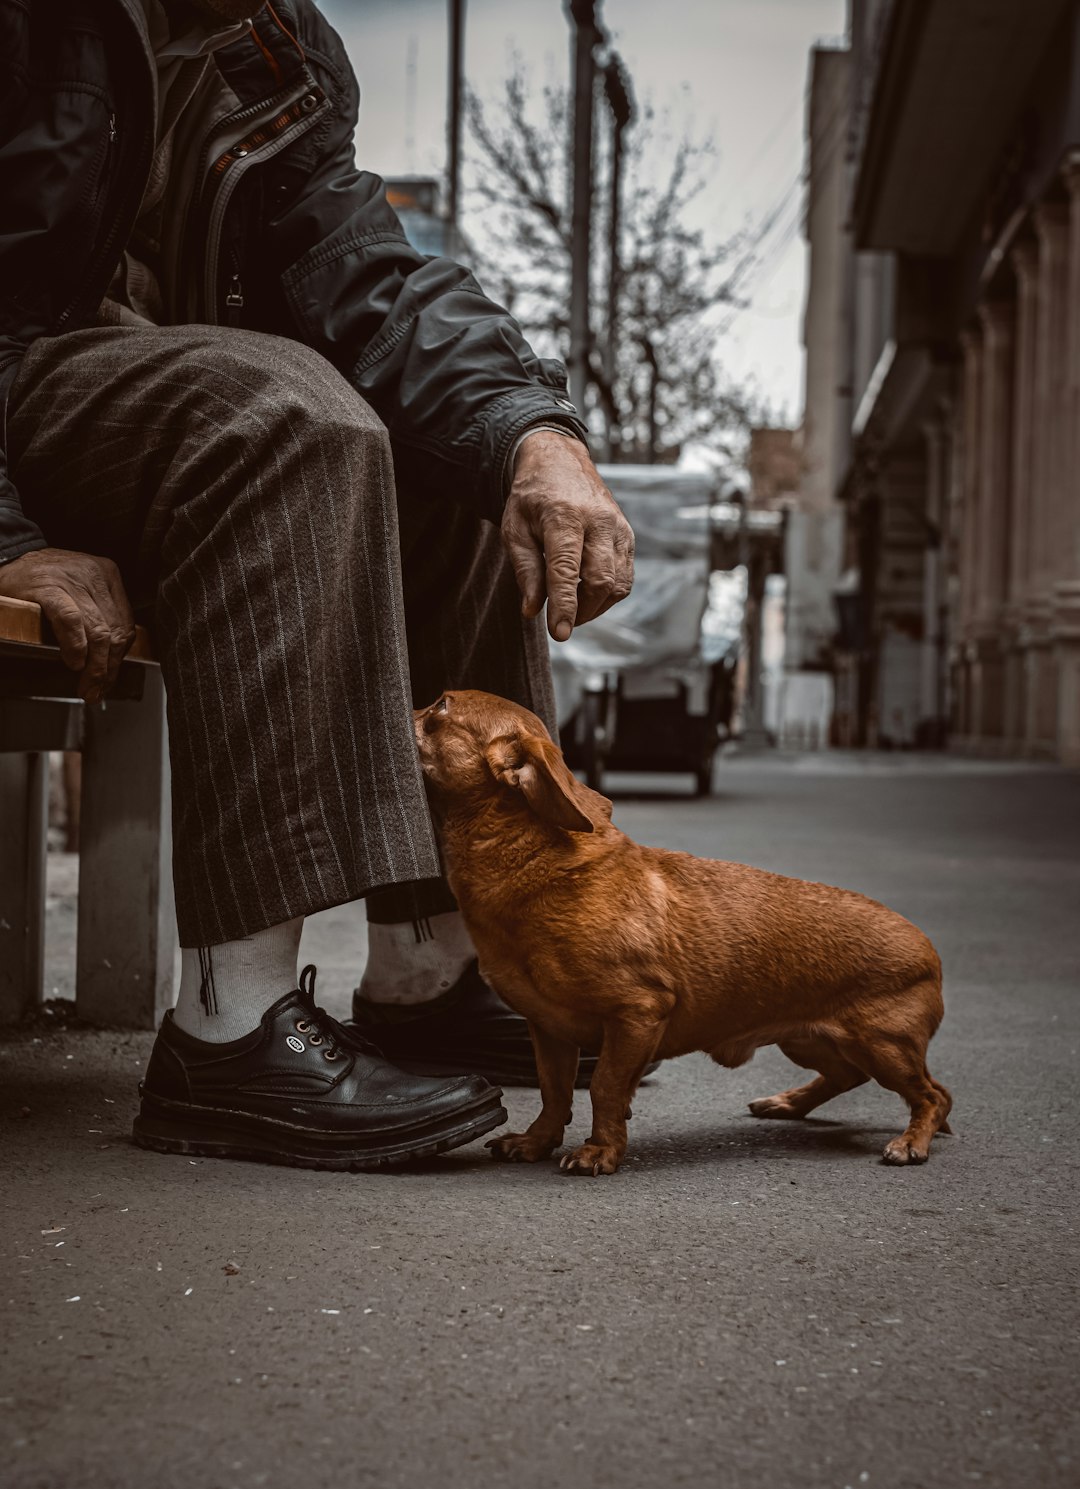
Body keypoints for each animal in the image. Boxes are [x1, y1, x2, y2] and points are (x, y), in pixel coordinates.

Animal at [414, 687, 953, 1173]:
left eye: (440, 706)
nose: (405, 710)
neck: (527, 863)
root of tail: (928, 949)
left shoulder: (638, 1013)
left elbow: (606, 1087)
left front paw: (600, 1151)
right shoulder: (547, 1030)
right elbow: (554, 1091)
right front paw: (535, 1142)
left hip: (883, 1046)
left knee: (933, 1096)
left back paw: (911, 1142)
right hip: (809, 1041)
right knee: (848, 1077)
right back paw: (789, 1102)